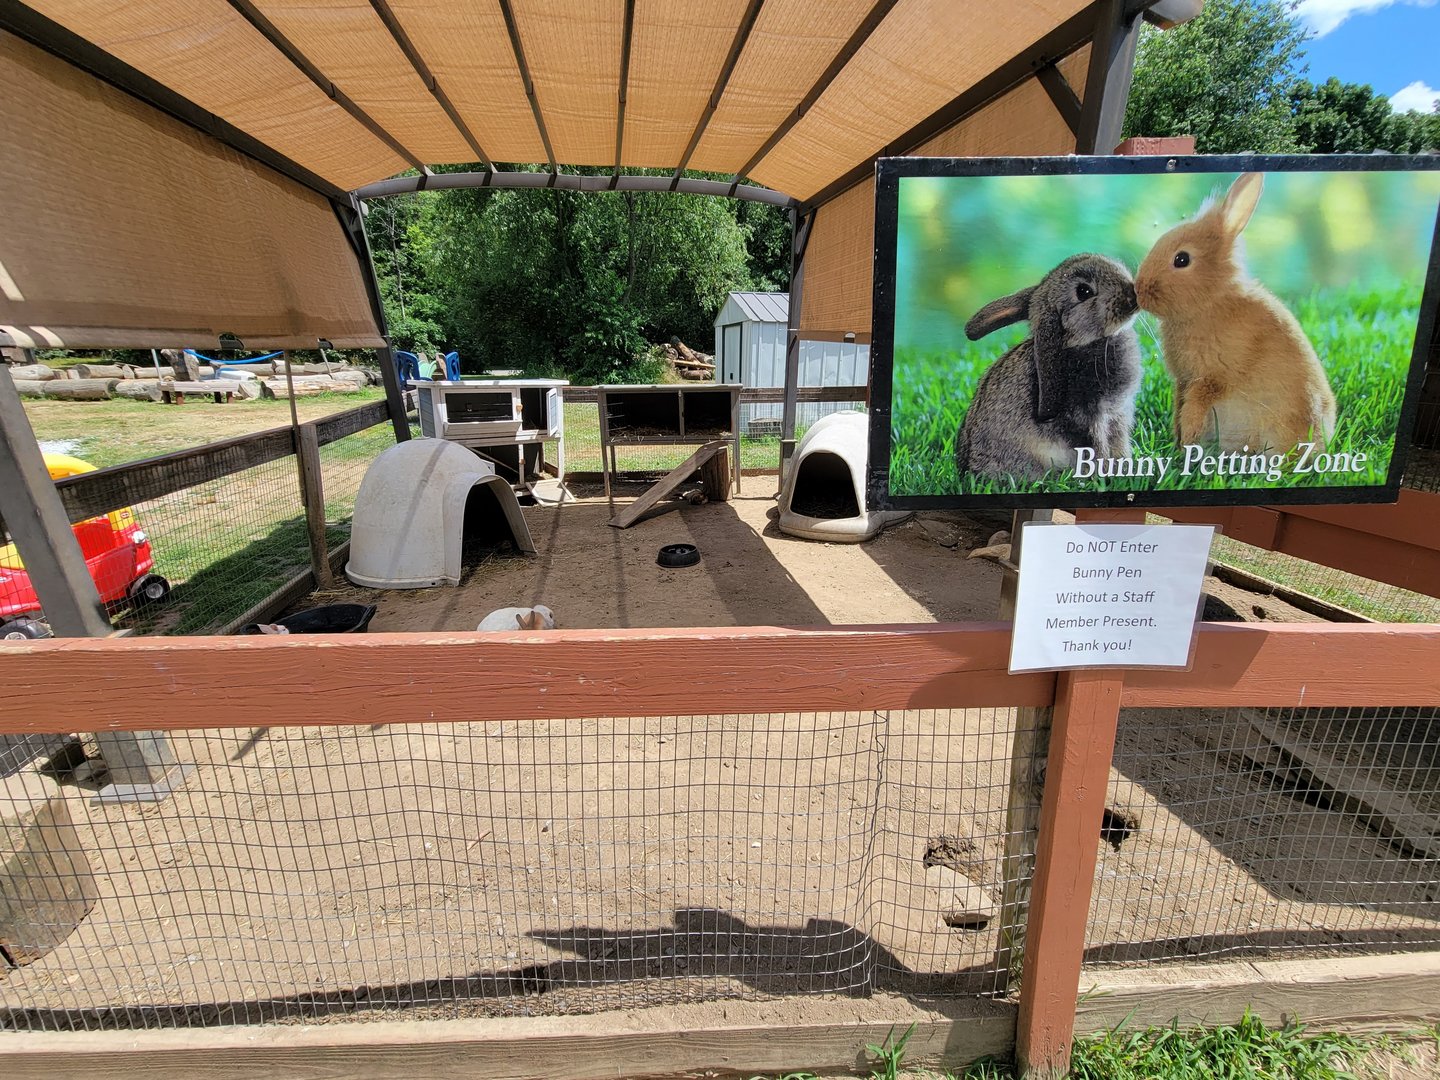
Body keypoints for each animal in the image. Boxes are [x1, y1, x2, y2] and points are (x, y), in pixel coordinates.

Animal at [1135, 172, 1336, 453]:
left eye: (1182, 259)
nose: (1138, 290)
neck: (1209, 302)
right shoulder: (1184, 380)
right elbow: (1179, 406)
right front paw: (1178, 443)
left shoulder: (1212, 378)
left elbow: (1194, 406)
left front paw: (1187, 440)